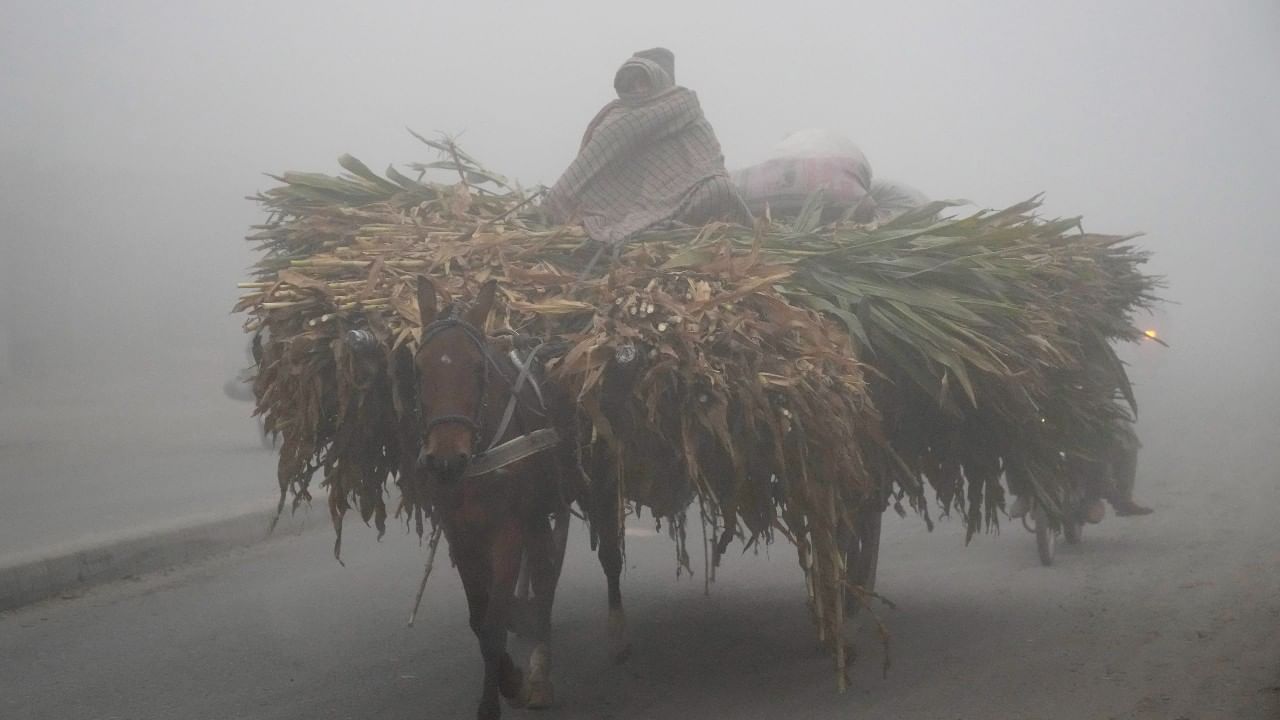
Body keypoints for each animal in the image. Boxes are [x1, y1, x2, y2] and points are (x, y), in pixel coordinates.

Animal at [414, 275, 576, 717]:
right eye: (419, 368)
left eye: (477, 366)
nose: (446, 460)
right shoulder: (461, 536)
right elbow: (479, 617)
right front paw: (508, 678)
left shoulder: (507, 533)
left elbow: (492, 623)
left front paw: (502, 694)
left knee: (547, 579)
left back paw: (541, 673)